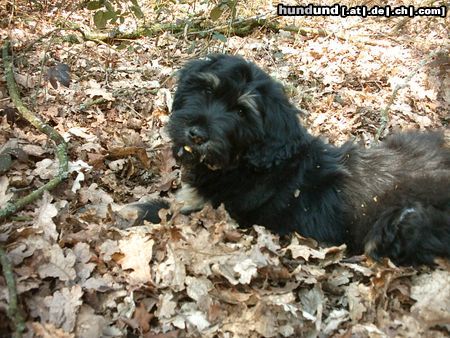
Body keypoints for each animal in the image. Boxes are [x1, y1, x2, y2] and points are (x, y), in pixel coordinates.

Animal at [134, 53, 450, 266]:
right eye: (206, 90)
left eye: (241, 112)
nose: (197, 134)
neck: (249, 161)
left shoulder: (217, 212)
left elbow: (159, 211)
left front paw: (131, 213)